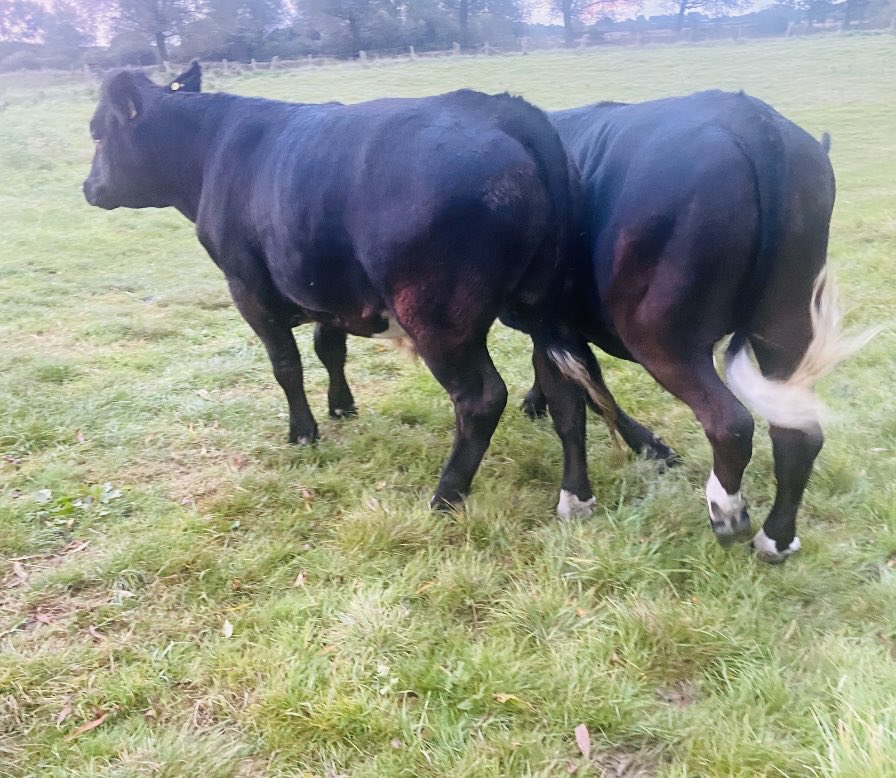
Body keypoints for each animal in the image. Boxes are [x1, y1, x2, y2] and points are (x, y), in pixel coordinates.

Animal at [82, 62, 614, 519]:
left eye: (97, 132)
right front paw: (342, 406)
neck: (214, 152)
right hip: (544, 309)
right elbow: (328, 349)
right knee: (565, 391)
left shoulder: (248, 289)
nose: (88, 187)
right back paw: (575, 497)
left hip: (439, 316)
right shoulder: (328, 292)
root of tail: (508, 112)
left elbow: (286, 365)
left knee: (481, 398)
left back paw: (445, 495)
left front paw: (303, 432)